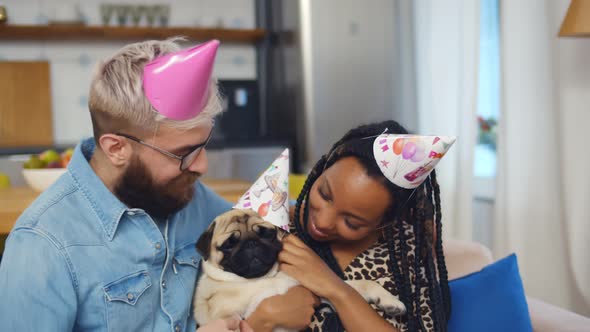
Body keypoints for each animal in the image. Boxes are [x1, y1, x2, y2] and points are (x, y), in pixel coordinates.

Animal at [194, 209, 408, 330]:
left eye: (266, 233)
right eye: (229, 244)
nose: (251, 244)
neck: (262, 279)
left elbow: (357, 285)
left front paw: (389, 300)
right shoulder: (226, 317)